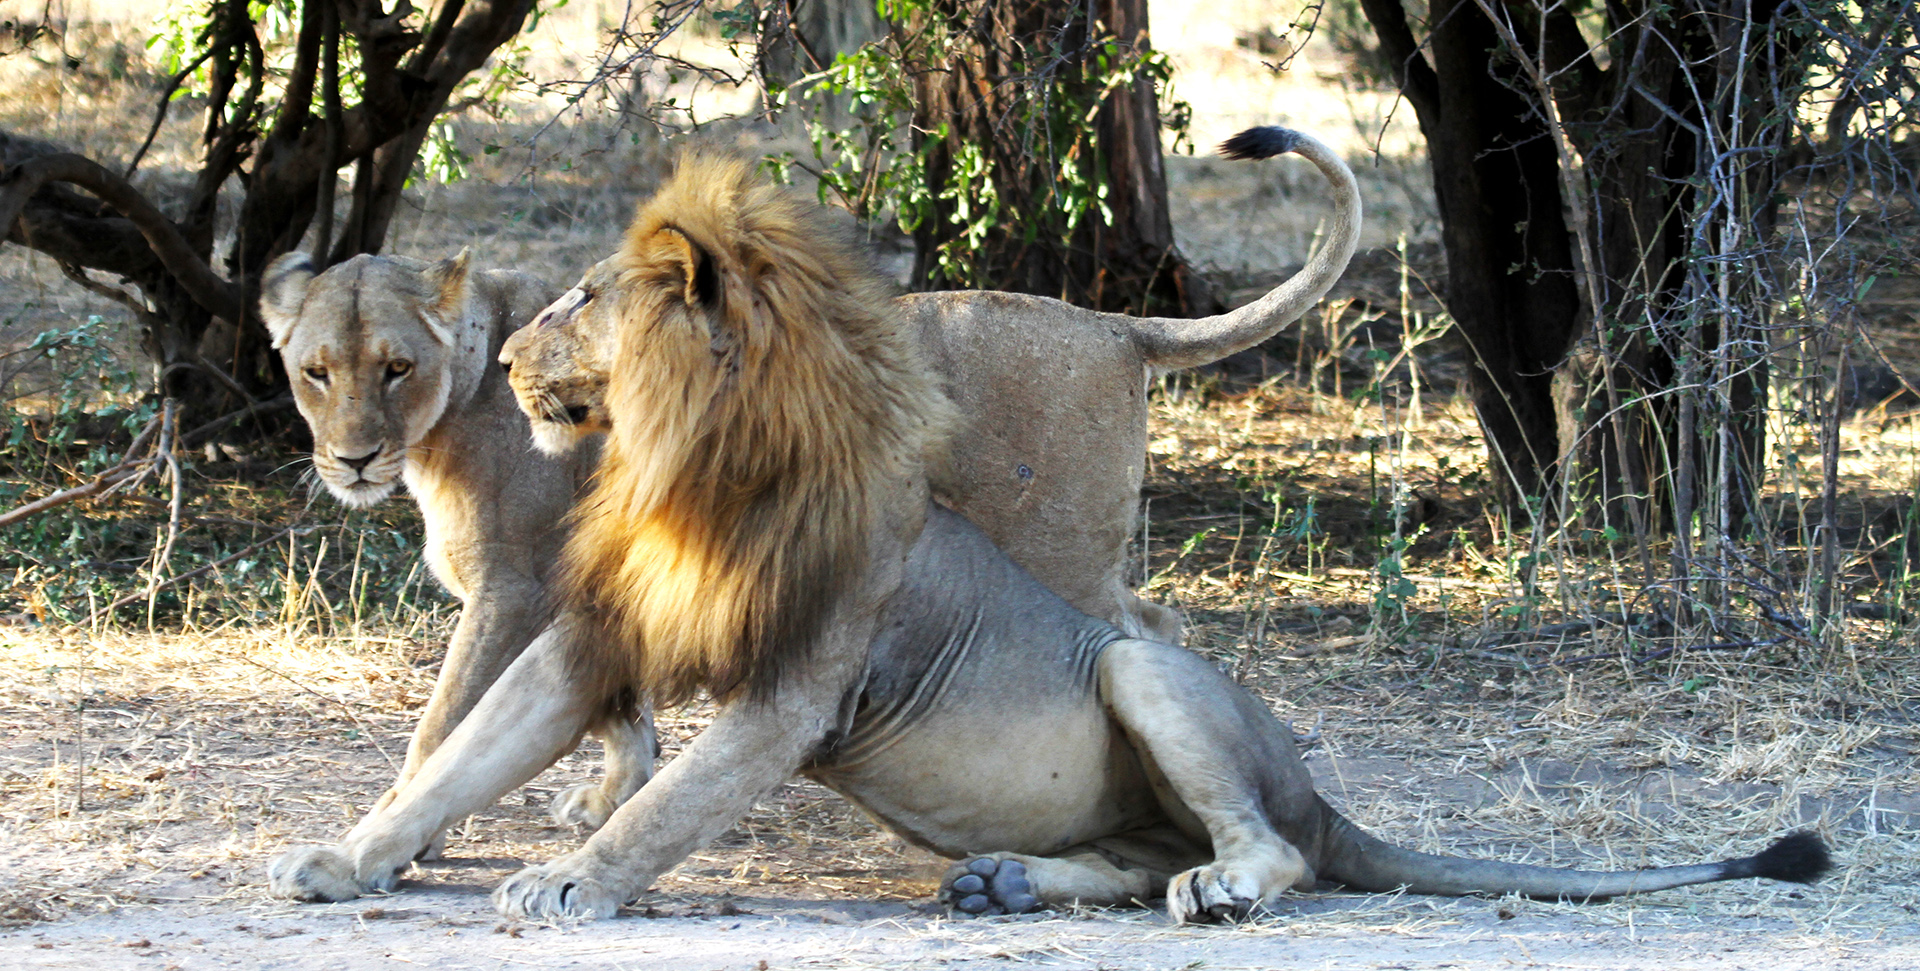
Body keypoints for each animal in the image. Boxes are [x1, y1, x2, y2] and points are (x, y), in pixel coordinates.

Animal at [259, 251, 656, 832]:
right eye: (316, 373)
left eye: (397, 369)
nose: (356, 460)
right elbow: (619, 707)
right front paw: (617, 796)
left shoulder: (512, 590)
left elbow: (443, 721)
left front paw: (396, 818)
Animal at [495, 124, 1367, 648]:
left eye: (584, 297)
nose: (502, 358)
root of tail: (1118, 327)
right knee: (1159, 619)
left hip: (1061, 547)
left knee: (1143, 627)